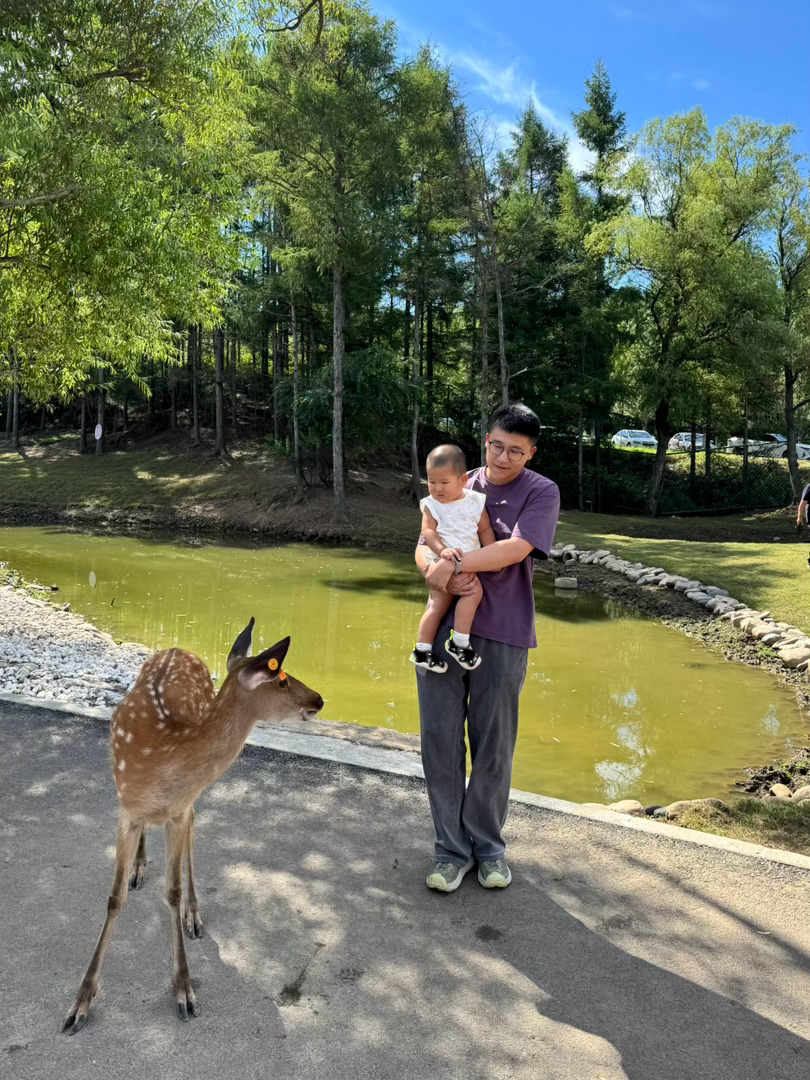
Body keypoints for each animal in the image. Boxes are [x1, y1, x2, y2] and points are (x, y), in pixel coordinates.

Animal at [62, 617, 324, 1035]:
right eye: (281, 680)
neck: (165, 753)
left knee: (194, 834)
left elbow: (172, 891)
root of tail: (179, 649)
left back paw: (193, 913)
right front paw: (80, 1002)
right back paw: (139, 867)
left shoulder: (179, 810)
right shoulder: (126, 810)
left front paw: (184, 990)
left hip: (189, 805)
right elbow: (114, 898)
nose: (319, 699)